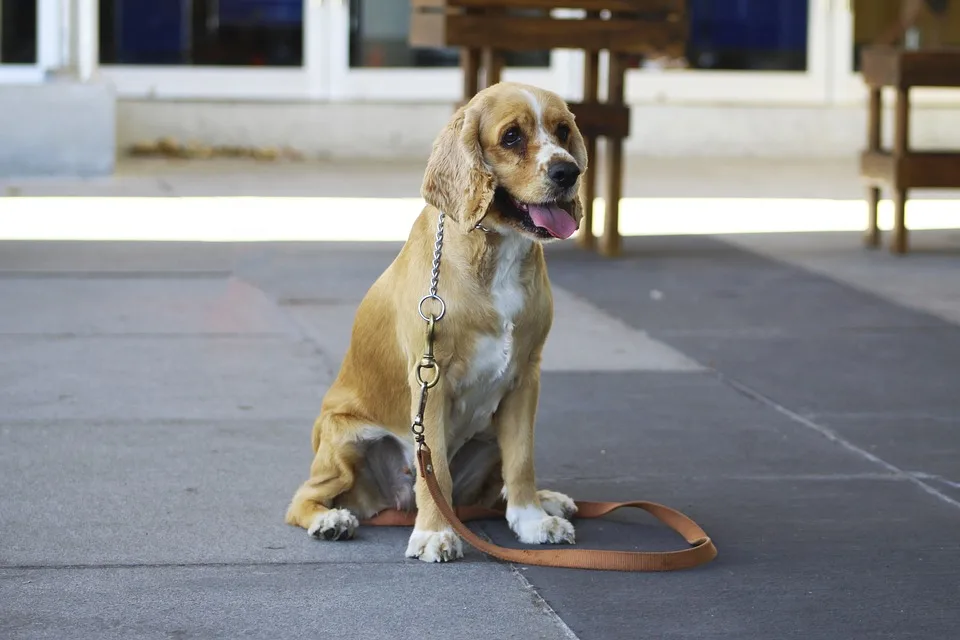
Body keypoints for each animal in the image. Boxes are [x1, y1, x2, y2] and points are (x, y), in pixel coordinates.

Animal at [282, 82, 588, 564]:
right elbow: (437, 469)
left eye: (562, 131)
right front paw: (434, 533)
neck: (495, 254)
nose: (568, 172)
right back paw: (330, 520)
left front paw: (532, 520)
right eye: (512, 137)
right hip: (344, 439)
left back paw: (548, 500)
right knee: (304, 498)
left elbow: (522, 461)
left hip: (488, 434)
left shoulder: (526, 378)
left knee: (491, 491)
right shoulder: (432, 380)